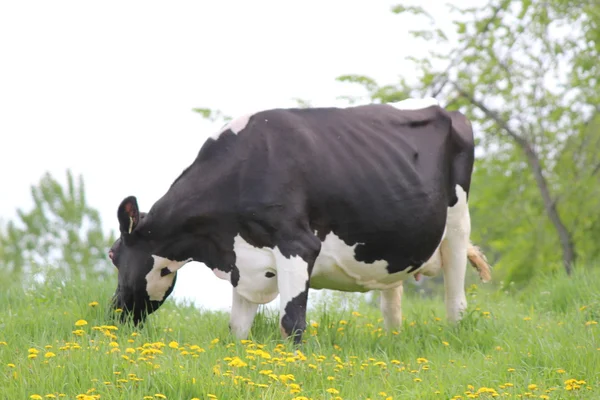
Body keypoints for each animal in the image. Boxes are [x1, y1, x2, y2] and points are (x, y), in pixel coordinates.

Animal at [108, 97, 492, 344]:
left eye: (113, 256)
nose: (112, 314)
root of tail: (449, 110)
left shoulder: (297, 245)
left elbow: (291, 322)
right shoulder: (242, 260)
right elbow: (237, 328)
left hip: (458, 224)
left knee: (455, 296)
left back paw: (454, 336)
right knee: (391, 300)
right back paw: (393, 343)